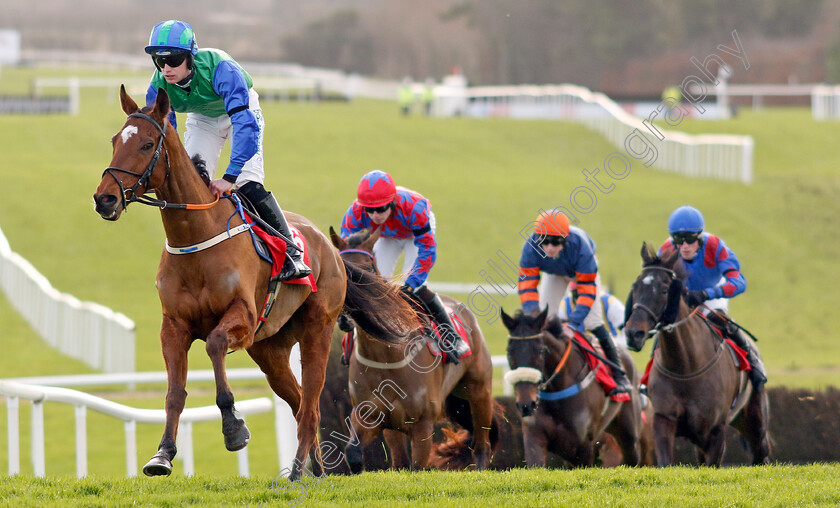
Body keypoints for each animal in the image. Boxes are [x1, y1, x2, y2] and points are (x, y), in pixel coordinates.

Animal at [93, 87, 418, 480]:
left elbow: (215, 344)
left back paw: (298, 470)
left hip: (318, 330)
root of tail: (333, 252)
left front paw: (234, 427)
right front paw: (163, 455)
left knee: (311, 405)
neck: (196, 238)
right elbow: (174, 393)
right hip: (270, 349)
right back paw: (316, 470)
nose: (104, 198)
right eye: (115, 141)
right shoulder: (173, 326)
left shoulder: (243, 317)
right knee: (299, 402)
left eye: (146, 144)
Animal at [502, 306, 648, 468]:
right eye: (509, 351)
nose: (526, 404)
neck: (557, 393)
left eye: (541, 351)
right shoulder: (535, 436)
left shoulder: (583, 447)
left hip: (629, 433)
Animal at [624, 242, 768, 464]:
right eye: (636, 286)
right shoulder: (664, 420)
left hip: (754, 421)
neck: (685, 367)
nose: (634, 333)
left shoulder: (715, 430)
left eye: (664, 290)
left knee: (762, 452)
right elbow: (665, 461)